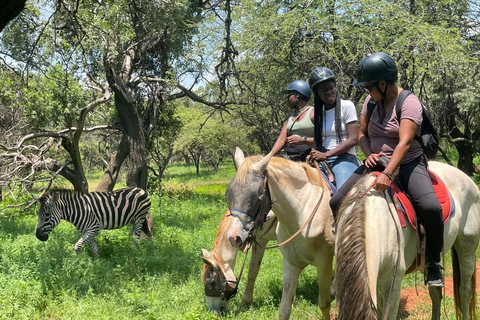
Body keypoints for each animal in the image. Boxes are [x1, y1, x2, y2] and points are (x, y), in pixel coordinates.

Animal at [224, 148, 334, 320]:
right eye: (228, 194)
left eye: (259, 195)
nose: (233, 237)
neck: (302, 211)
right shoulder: (289, 262)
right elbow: (283, 307)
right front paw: (244, 304)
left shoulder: (324, 261)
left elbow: (324, 303)